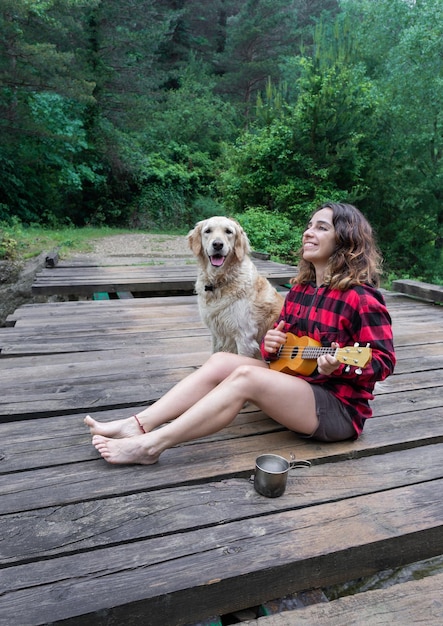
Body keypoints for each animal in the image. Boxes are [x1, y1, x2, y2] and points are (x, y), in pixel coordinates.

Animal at [187, 214, 284, 356]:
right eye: (208, 231)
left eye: (228, 232)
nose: (217, 244)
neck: (219, 282)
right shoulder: (216, 333)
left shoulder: (245, 338)